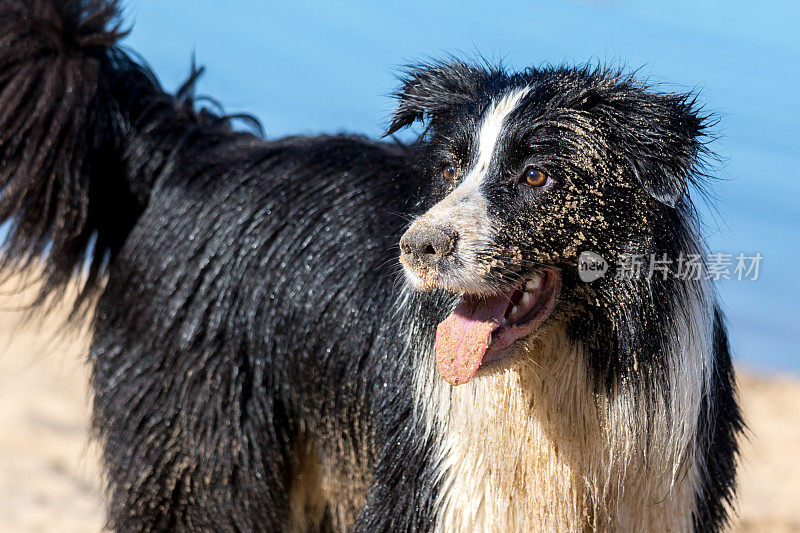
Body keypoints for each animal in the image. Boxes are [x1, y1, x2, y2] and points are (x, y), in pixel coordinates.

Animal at [0, 2, 740, 528]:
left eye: (536, 175)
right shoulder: (432, 487)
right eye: (449, 169)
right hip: (200, 444)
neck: (561, 371)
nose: (417, 247)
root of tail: (194, 146)